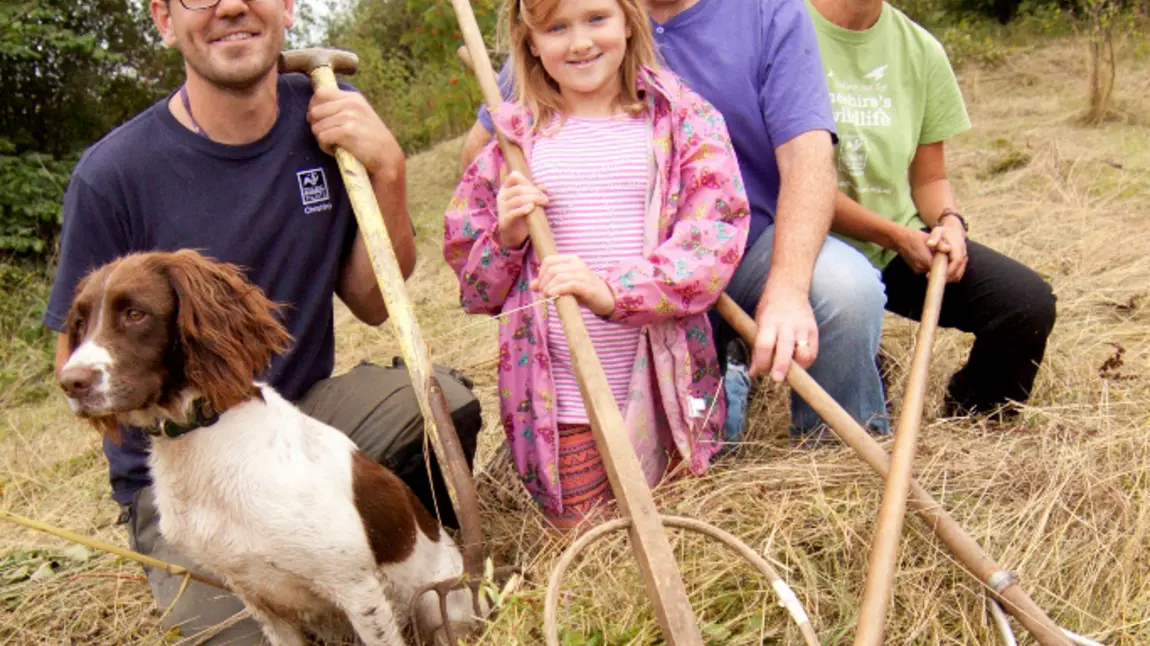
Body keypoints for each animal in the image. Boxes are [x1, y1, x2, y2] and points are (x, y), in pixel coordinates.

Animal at [57, 250, 480, 643]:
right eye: (79, 322)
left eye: (135, 314)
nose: (70, 383)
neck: (203, 439)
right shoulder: (256, 597)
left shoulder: (355, 586)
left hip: (436, 601)